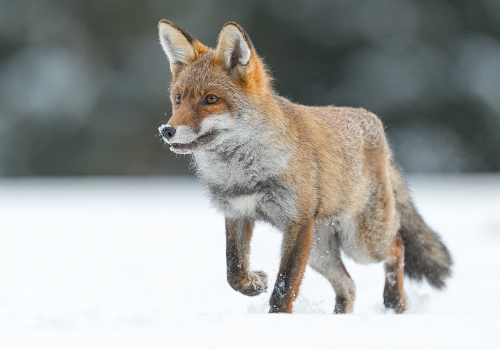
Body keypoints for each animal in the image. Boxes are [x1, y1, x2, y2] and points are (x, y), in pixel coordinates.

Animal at [157, 20, 454, 314]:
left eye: (211, 99)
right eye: (178, 99)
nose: (167, 131)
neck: (244, 172)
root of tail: (374, 123)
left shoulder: (297, 221)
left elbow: (284, 286)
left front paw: (277, 316)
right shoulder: (237, 214)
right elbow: (234, 273)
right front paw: (255, 283)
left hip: (361, 243)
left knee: (396, 245)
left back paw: (395, 302)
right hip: (320, 251)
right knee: (349, 285)